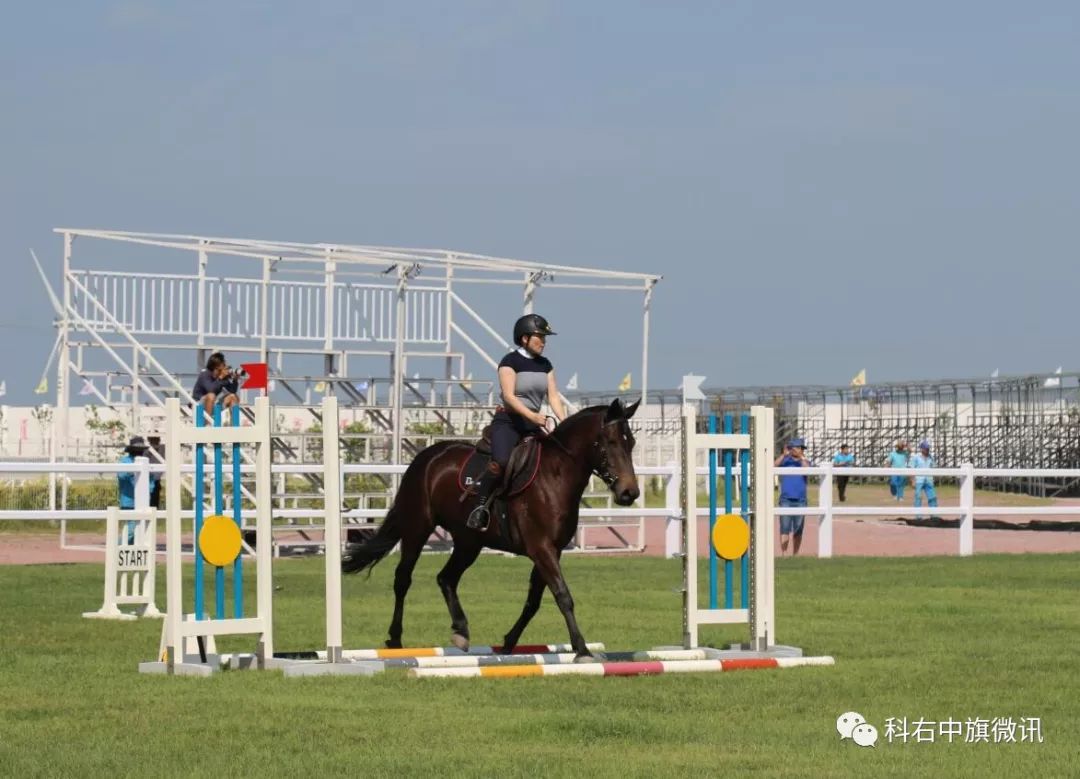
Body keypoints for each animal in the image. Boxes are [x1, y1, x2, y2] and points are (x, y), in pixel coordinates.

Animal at [341, 397, 635, 661]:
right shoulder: (542, 549)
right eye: (610, 442)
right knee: (403, 579)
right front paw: (582, 650)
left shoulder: (552, 551)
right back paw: (395, 640)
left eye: (630, 443)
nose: (630, 493)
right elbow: (563, 595)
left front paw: (508, 643)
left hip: (468, 542)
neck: (555, 476)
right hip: (418, 528)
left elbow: (534, 601)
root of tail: (426, 457)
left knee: (446, 578)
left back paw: (461, 631)